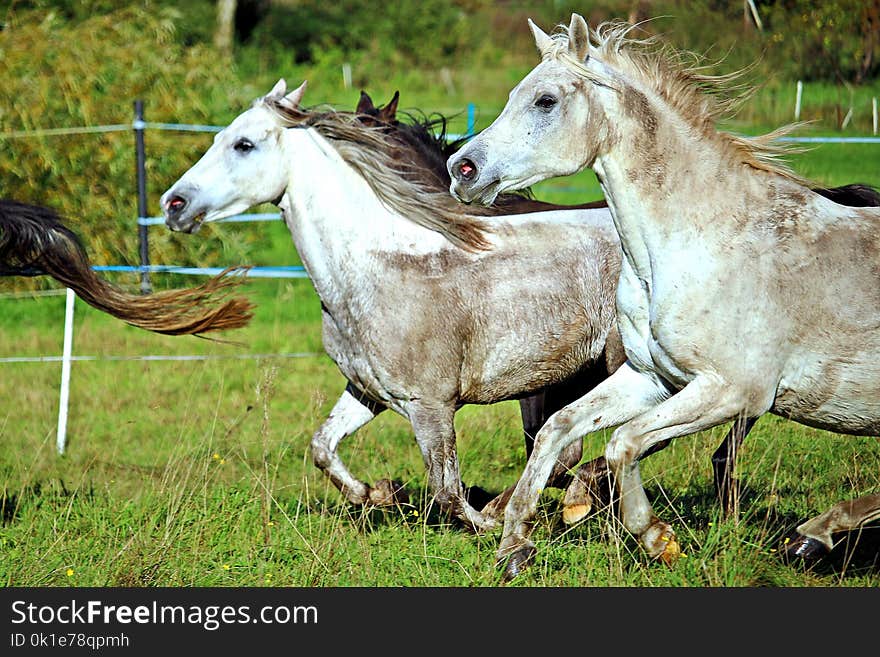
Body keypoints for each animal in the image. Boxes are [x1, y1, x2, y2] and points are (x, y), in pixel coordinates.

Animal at [450, 14, 876, 580]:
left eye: (545, 100)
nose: (462, 169)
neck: (700, 241)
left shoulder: (732, 392)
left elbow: (622, 444)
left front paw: (658, 539)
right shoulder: (652, 379)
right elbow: (556, 430)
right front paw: (514, 546)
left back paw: (812, 535)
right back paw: (813, 536)